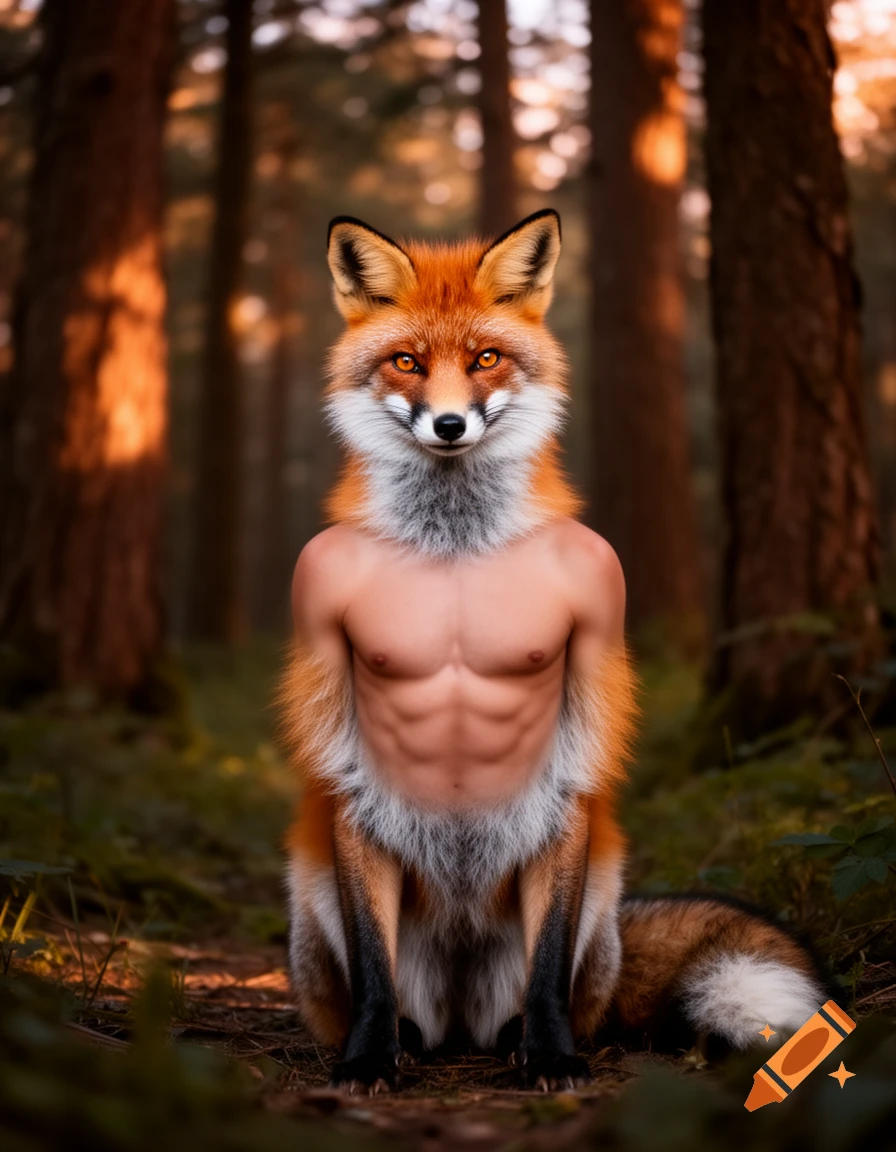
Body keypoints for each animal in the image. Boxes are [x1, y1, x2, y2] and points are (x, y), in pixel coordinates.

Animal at [277, 209, 827, 1093]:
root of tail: (459, 1021)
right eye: (407, 363)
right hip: (315, 888)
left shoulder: (574, 747)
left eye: (485, 358)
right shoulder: (343, 743)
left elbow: (547, 969)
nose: (450, 425)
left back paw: (514, 1038)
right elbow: (371, 965)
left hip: (597, 895)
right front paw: (368, 1058)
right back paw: (405, 1037)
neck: (455, 544)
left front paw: (552, 1055)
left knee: (563, 990)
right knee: (387, 991)